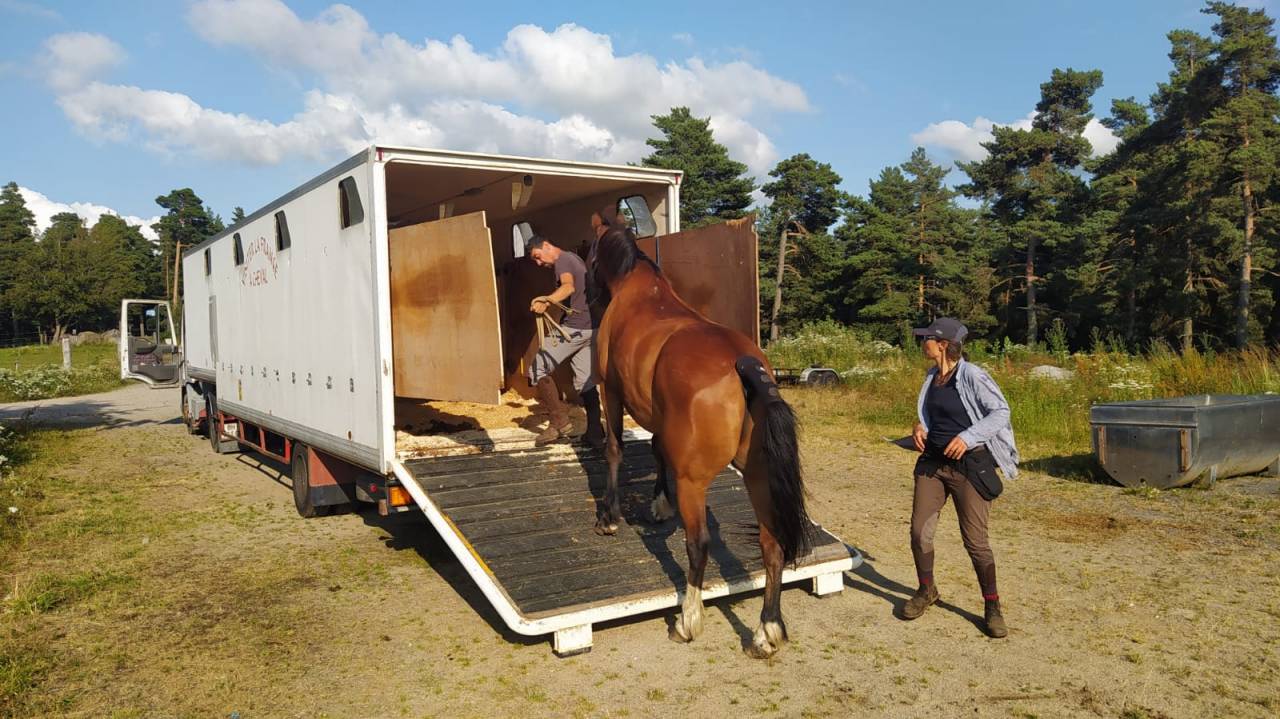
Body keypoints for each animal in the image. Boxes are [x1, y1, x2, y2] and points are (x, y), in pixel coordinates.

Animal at [587, 219, 813, 659]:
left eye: (588, 254)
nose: (587, 295)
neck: (639, 290)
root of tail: (744, 364)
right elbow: (656, 449)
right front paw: (659, 503)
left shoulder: (611, 390)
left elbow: (615, 449)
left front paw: (610, 515)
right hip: (759, 478)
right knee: (772, 545)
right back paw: (766, 630)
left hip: (695, 483)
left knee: (699, 545)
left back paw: (688, 620)